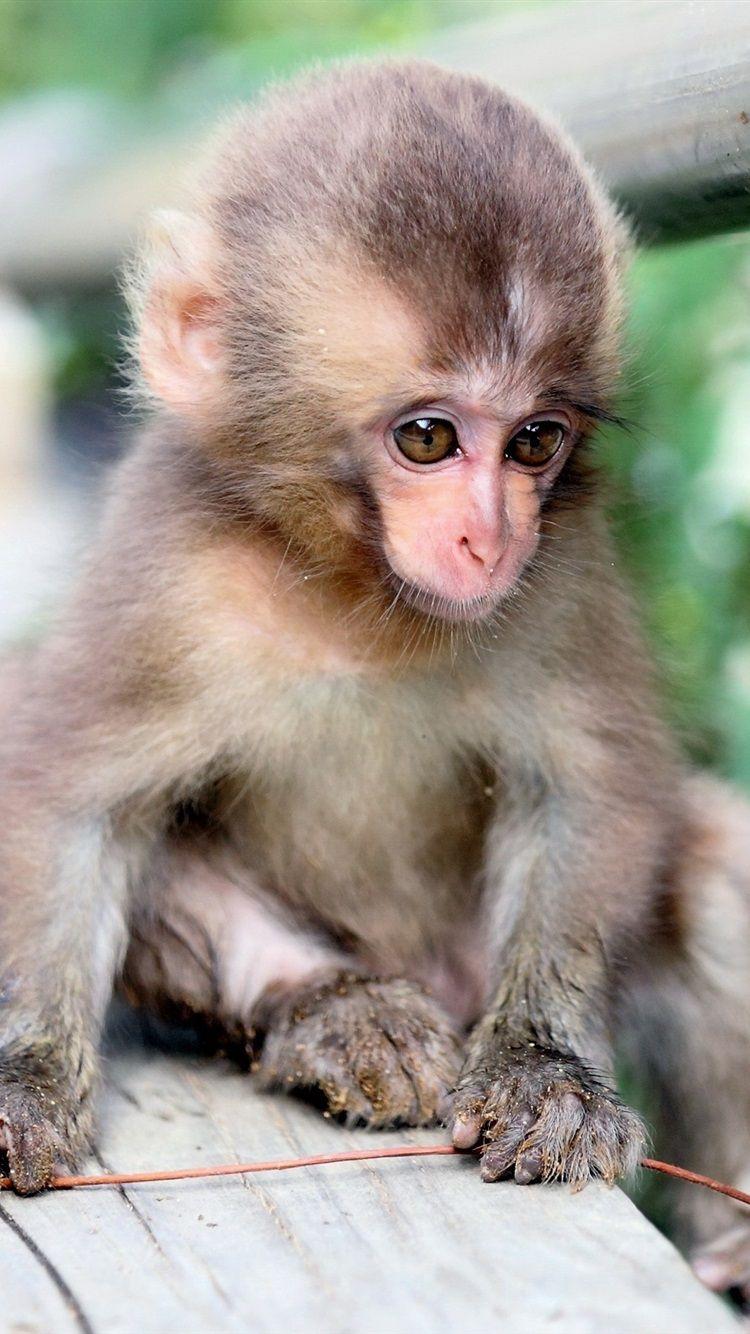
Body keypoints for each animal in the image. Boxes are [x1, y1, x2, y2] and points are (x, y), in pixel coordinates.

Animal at [0, 57, 748, 1302]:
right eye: (430, 438)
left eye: (536, 441)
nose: (490, 538)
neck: (357, 593)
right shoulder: (165, 570)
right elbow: (65, 798)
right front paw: (21, 1074)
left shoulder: (564, 570)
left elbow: (595, 784)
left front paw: (545, 1063)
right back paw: (332, 1010)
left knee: (708, 863)